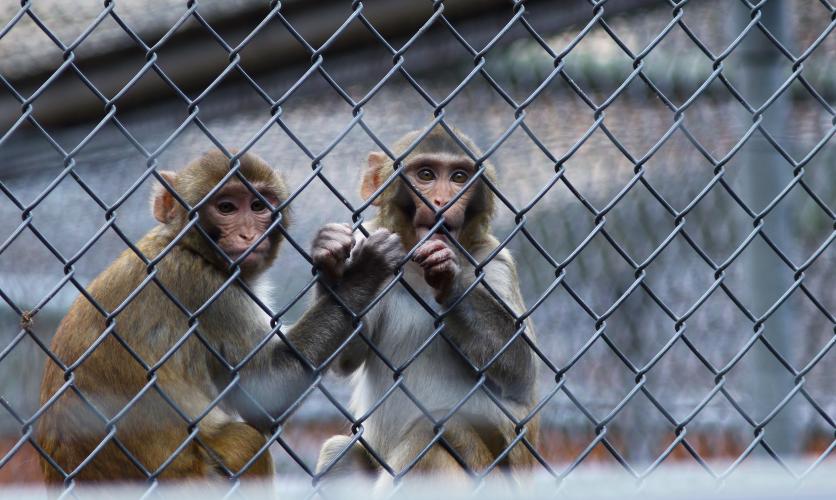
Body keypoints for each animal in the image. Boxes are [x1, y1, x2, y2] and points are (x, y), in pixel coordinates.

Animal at [36, 149, 404, 484]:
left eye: (258, 205)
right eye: (226, 207)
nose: (248, 235)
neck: (185, 245)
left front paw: (331, 260)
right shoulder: (209, 293)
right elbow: (265, 392)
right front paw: (361, 273)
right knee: (245, 440)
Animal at [316, 126, 540, 488]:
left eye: (459, 177)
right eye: (425, 175)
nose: (442, 201)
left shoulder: (496, 263)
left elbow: (522, 375)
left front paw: (451, 277)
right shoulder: (372, 245)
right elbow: (347, 358)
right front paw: (332, 256)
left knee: (434, 435)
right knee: (338, 452)